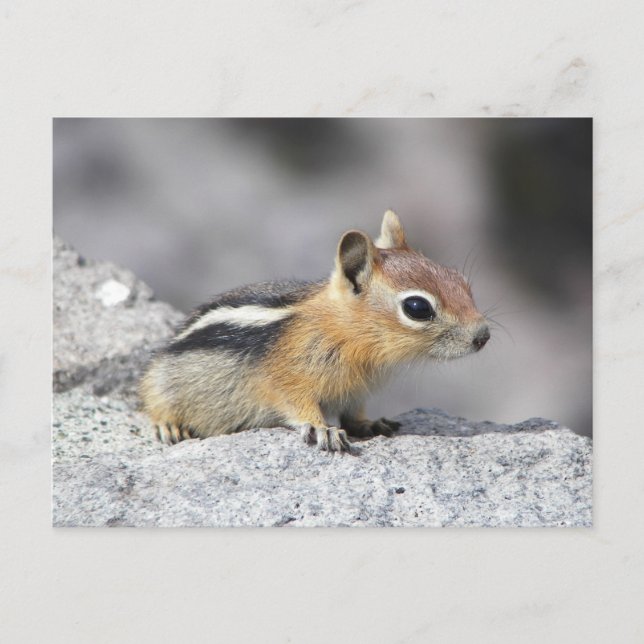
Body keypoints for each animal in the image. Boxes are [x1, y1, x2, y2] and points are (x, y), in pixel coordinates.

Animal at [139, 210, 490, 453]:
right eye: (417, 308)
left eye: (459, 279)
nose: (483, 336)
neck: (350, 335)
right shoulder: (286, 377)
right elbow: (296, 403)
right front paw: (323, 428)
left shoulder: (357, 391)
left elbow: (354, 414)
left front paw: (369, 423)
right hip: (160, 381)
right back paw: (167, 425)